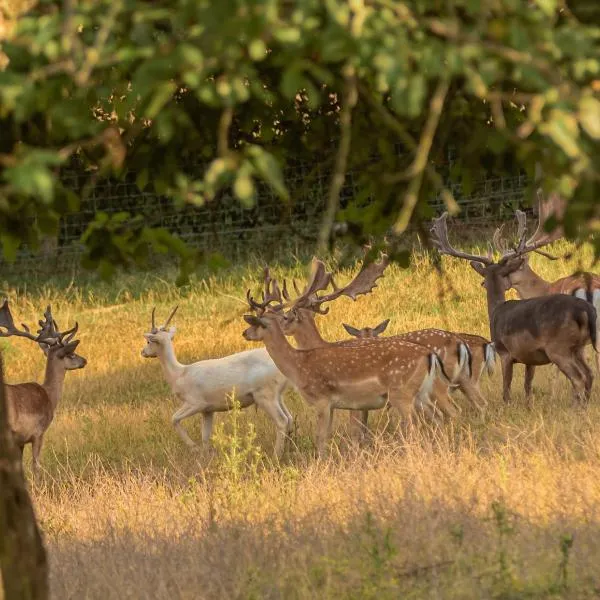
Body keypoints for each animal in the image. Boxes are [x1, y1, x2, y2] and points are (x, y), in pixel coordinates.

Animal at [0, 302, 86, 480]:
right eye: (72, 354)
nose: (84, 360)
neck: (49, 396)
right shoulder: (38, 432)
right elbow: (36, 466)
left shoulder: (20, 441)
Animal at [139, 308, 292, 458]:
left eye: (148, 342)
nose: (143, 352)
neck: (180, 373)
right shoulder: (208, 410)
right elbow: (205, 436)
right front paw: (206, 457)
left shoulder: (195, 403)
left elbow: (174, 419)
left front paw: (194, 448)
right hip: (278, 396)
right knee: (289, 418)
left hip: (265, 396)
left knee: (281, 421)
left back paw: (276, 456)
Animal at [241, 258, 452, 454]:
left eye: (256, 322)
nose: (245, 333)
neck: (298, 365)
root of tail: (429, 355)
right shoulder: (337, 405)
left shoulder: (323, 400)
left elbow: (321, 437)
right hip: (421, 392)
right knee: (438, 417)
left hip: (402, 392)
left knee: (415, 426)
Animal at [428, 204, 596, 406]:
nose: (482, 283)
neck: (495, 311)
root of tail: (585, 310)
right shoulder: (530, 357)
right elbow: (527, 386)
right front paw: (529, 405)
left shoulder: (505, 352)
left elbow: (506, 388)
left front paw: (507, 404)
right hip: (578, 347)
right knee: (590, 374)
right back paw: (584, 405)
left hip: (559, 347)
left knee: (578, 378)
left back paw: (576, 406)